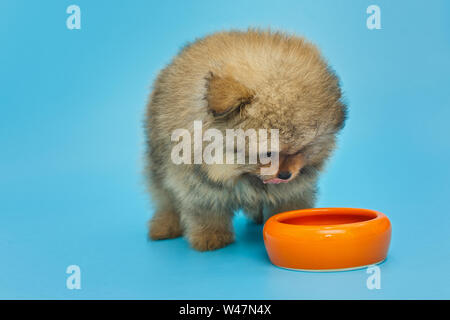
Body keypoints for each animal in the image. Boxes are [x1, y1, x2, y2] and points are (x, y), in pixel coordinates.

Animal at [146, 29, 346, 250]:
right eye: (268, 153)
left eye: (302, 149)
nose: (285, 174)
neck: (242, 173)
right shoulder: (198, 184)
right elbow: (207, 209)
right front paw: (211, 237)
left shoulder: (294, 187)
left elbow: (289, 202)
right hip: (157, 162)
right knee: (164, 197)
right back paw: (165, 225)